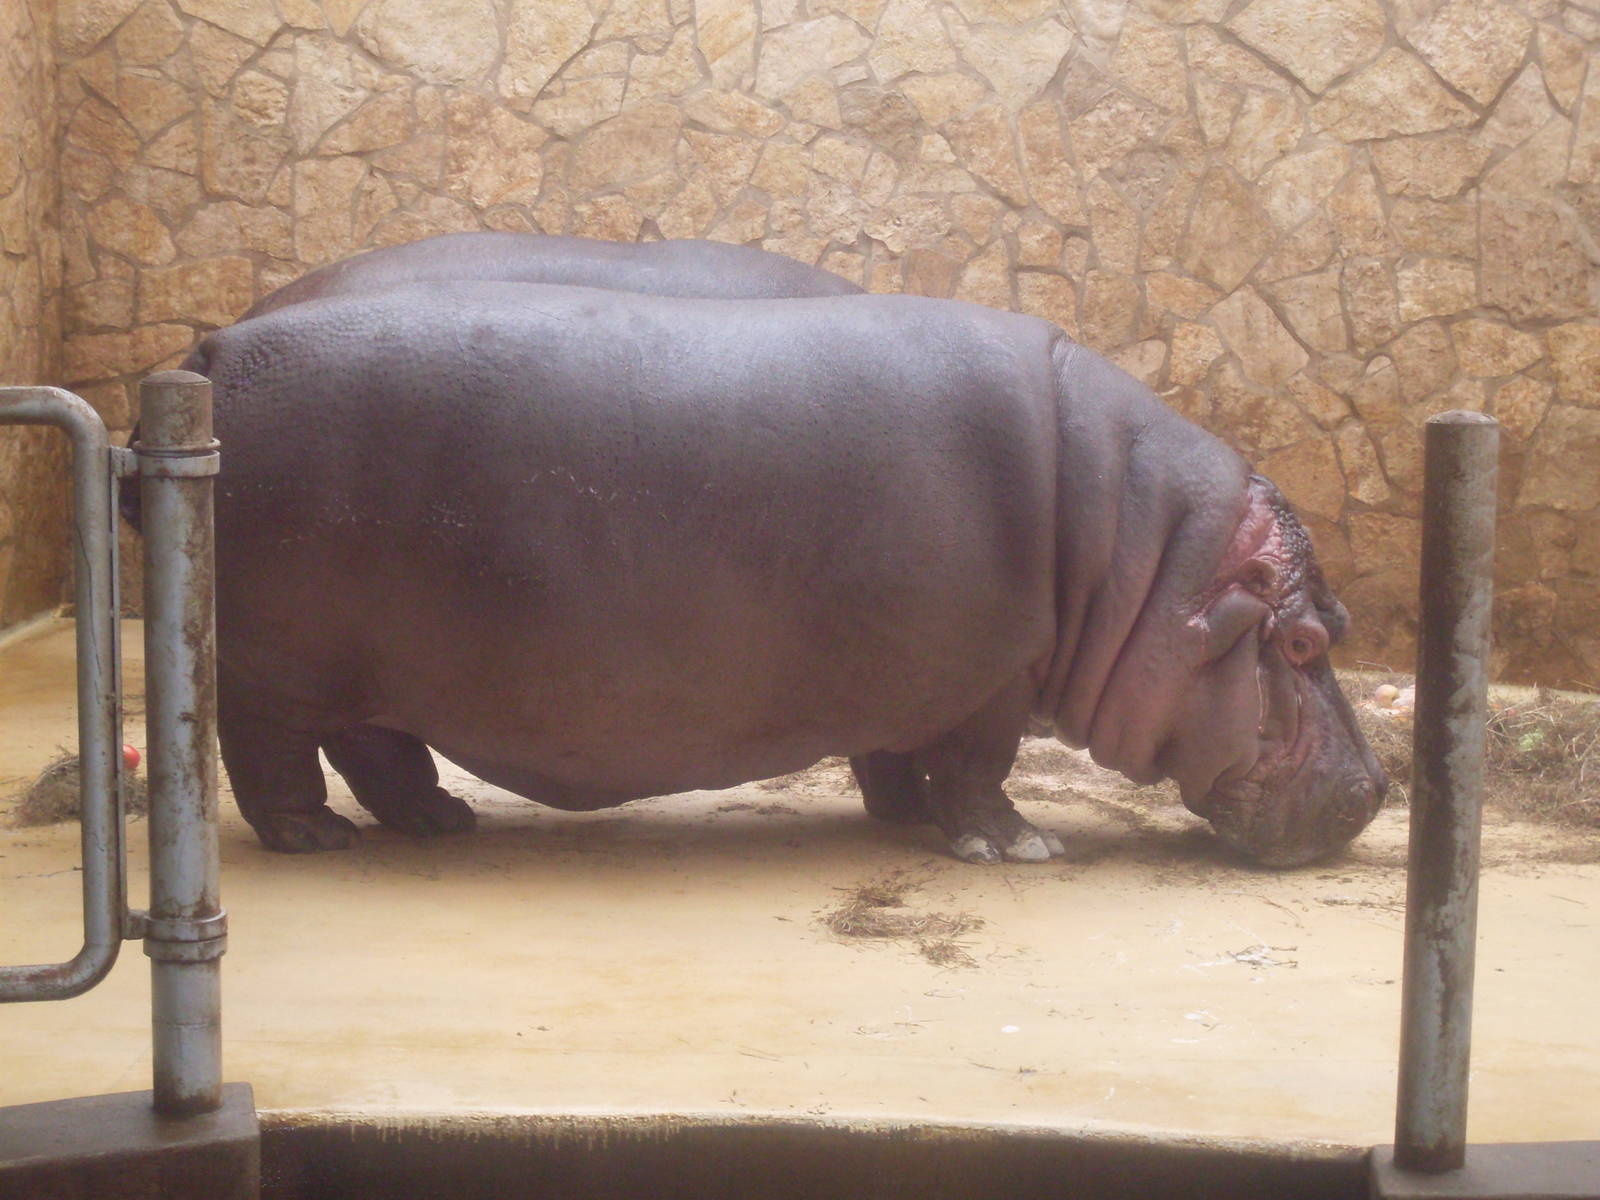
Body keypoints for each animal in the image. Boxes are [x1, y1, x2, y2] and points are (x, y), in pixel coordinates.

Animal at [170, 281, 1384, 867]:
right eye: (1304, 641)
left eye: (1335, 622)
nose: (1378, 792)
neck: (1152, 554)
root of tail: (216, 348)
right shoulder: (992, 675)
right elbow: (978, 767)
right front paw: (1019, 848)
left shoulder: (916, 670)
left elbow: (897, 754)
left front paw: (901, 817)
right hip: (274, 662)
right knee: (272, 753)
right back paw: (315, 838)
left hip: (368, 668)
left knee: (377, 748)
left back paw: (439, 821)